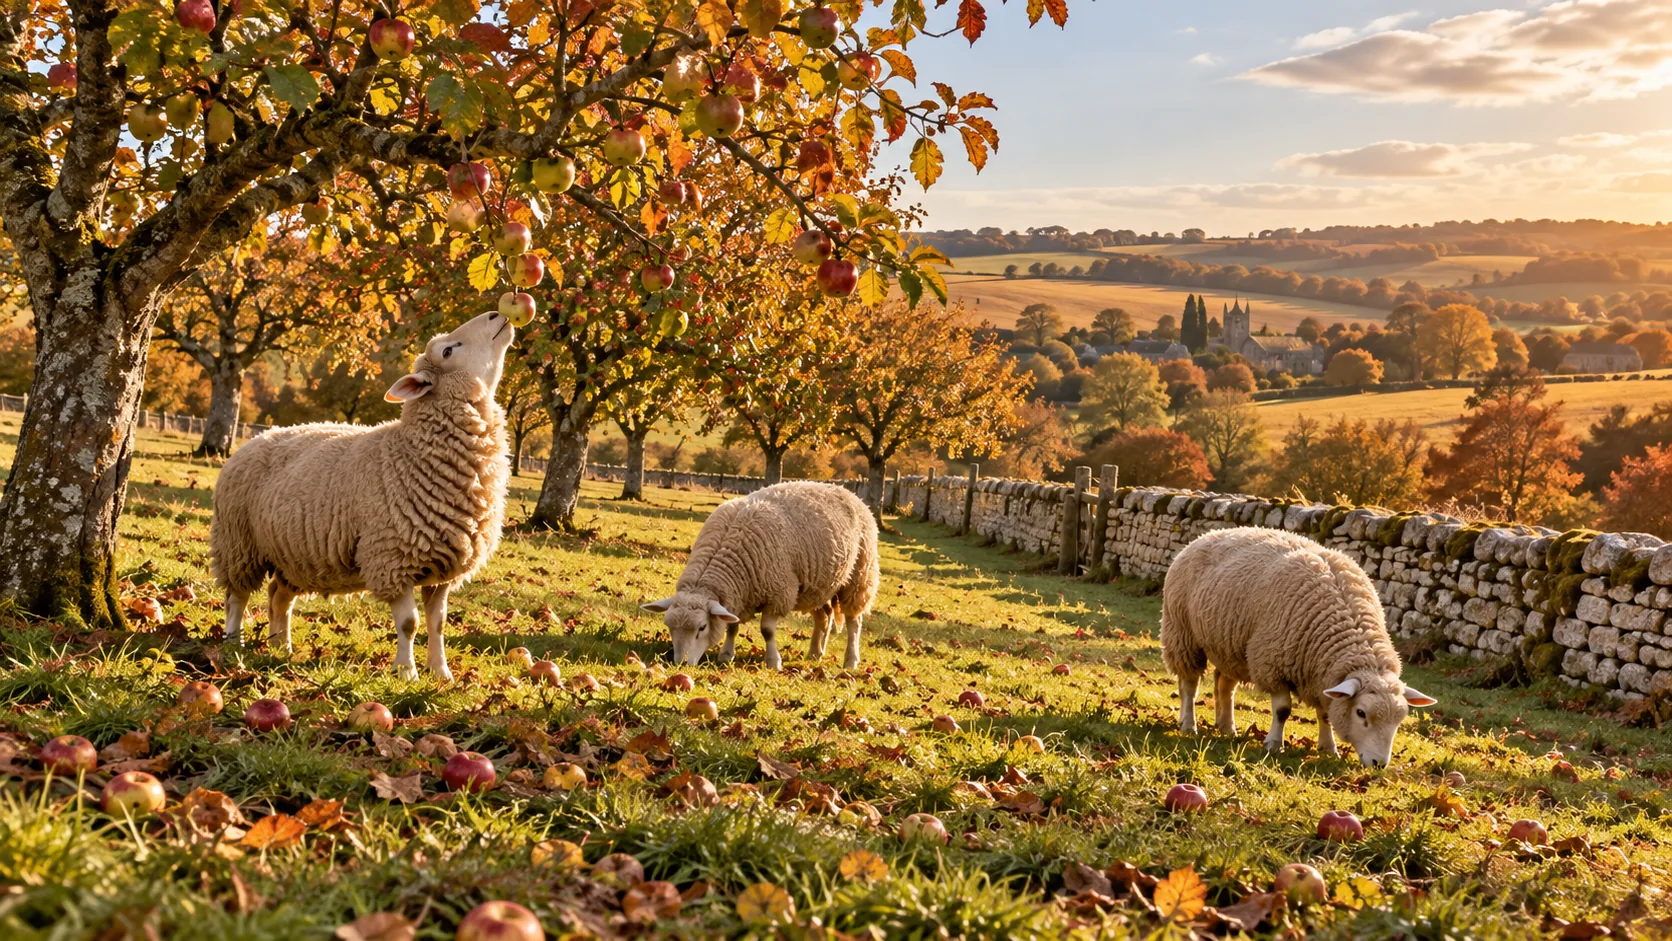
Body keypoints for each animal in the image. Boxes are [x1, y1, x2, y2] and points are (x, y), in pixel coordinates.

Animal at [209, 310, 514, 682]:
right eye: (447, 351)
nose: (497, 314)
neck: (411, 450)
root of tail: (253, 440)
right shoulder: (392, 559)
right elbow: (410, 624)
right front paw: (406, 672)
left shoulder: (444, 568)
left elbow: (438, 624)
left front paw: (441, 673)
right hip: (238, 543)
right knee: (236, 597)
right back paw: (233, 643)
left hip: (291, 554)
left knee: (279, 596)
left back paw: (281, 646)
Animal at [643, 481, 879, 670]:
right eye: (669, 626)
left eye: (702, 627)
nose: (680, 663)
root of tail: (847, 492)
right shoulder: (738, 597)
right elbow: (732, 626)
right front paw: (726, 655)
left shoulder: (778, 594)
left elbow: (767, 631)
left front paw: (773, 661)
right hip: (820, 584)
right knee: (825, 617)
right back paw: (815, 653)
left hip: (859, 576)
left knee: (854, 621)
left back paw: (851, 661)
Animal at [1160, 527, 1436, 767]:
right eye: (1361, 713)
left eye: (1399, 719)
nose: (1379, 764)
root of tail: (1206, 535)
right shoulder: (1272, 664)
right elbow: (1283, 710)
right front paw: (1274, 744)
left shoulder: (1321, 676)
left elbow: (1325, 714)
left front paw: (1329, 748)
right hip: (1183, 635)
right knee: (1189, 685)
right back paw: (1189, 725)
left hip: (1230, 646)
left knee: (1225, 687)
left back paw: (1227, 727)